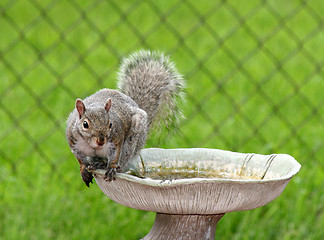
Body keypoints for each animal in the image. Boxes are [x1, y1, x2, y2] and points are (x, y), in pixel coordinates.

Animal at [66, 49, 185, 187]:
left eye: (110, 124)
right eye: (85, 124)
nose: (101, 141)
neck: (93, 145)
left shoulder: (116, 139)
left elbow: (115, 156)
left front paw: (112, 168)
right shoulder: (73, 142)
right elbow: (80, 159)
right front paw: (84, 170)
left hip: (131, 143)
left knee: (123, 162)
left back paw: (108, 165)